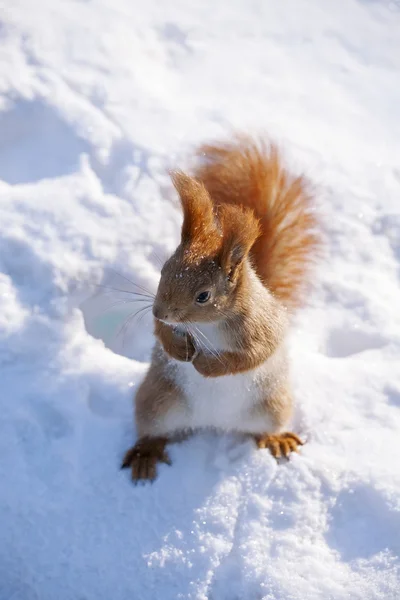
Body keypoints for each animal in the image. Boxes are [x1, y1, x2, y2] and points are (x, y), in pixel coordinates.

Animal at [123, 135, 320, 482]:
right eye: (163, 270)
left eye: (204, 295)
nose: (160, 311)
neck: (208, 325)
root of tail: (214, 422)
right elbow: (161, 333)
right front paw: (178, 349)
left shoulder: (261, 327)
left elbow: (252, 356)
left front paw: (205, 365)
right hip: (157, 403)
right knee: (153, 432)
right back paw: (146, 454)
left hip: (273, 406)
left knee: (264, 429)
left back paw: (277, 439)